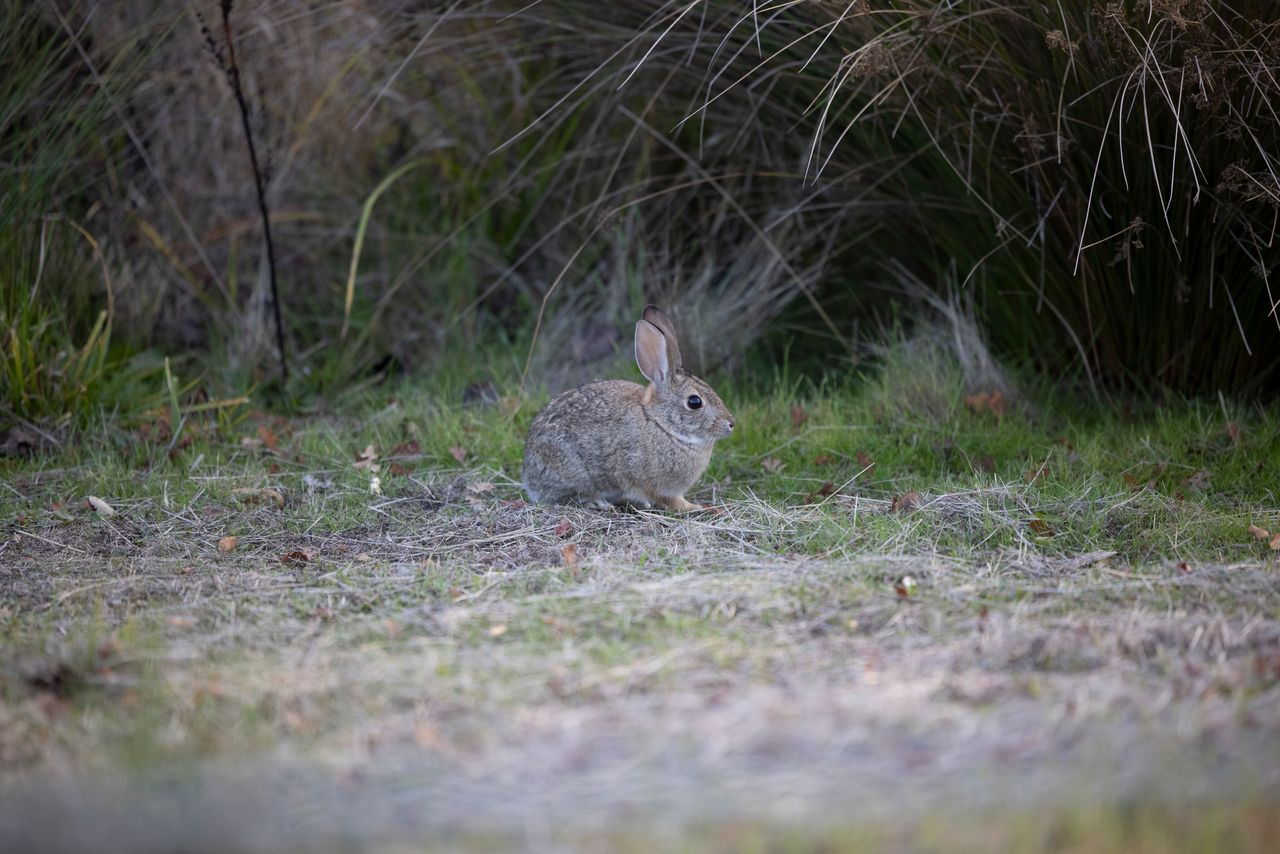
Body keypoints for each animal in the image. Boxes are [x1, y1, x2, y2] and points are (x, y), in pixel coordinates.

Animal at [522, 305, 734, 510]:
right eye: (694, 402)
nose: (731, 423)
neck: (662, 425)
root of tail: (528, 471)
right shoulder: (651, 482)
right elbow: (670, 500)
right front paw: (694, 507)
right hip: (571, 471)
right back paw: (597, 502)